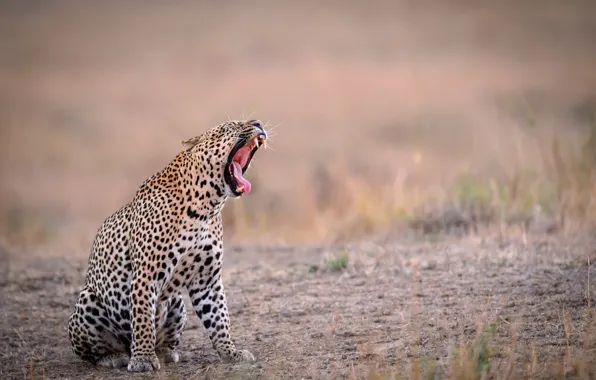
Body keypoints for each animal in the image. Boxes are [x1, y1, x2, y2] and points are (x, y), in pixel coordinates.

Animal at [67, 118, 268, 372]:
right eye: (231, 125)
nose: (258, 122)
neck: (206, 208)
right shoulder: (146, 275)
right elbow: (143, 319)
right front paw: (143, 359)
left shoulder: (207, 279)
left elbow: (219, 317)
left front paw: (231, 353)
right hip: (87, 300)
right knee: (93, 351)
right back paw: (114, 356)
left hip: (176, 303)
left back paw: (165, 353)